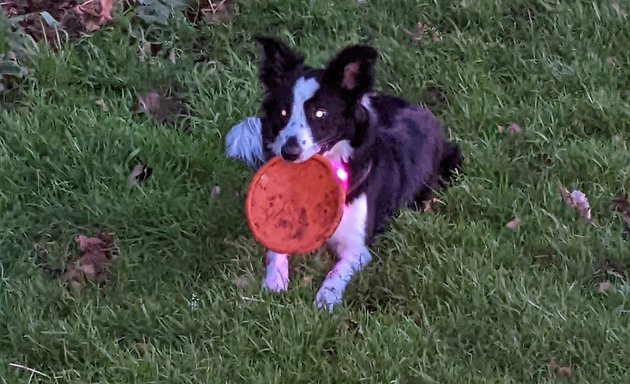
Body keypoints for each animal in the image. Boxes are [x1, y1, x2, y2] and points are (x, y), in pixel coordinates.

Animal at [227, 36, 464, 312]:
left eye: (320, 113)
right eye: (283, 112)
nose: (289, 152)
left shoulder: (357, 248)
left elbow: (336, 272)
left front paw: (325, 300)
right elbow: (276, 253)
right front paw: (274, 282)